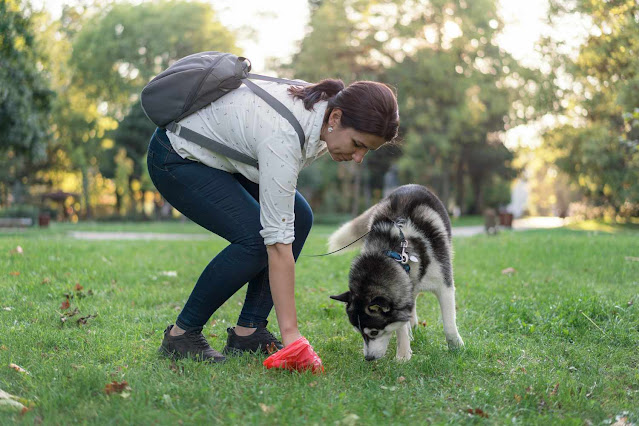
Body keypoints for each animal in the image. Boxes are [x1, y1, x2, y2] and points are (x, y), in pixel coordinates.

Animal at [330, 183, 464, 360]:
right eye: (359, 332)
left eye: (374, 332)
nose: (368, 358)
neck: (395, 253)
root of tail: (410, 185)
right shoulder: (402, 292)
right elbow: (400, 325)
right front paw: (403, 355)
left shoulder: (444, 285)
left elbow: (449, 322)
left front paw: (456, 346)